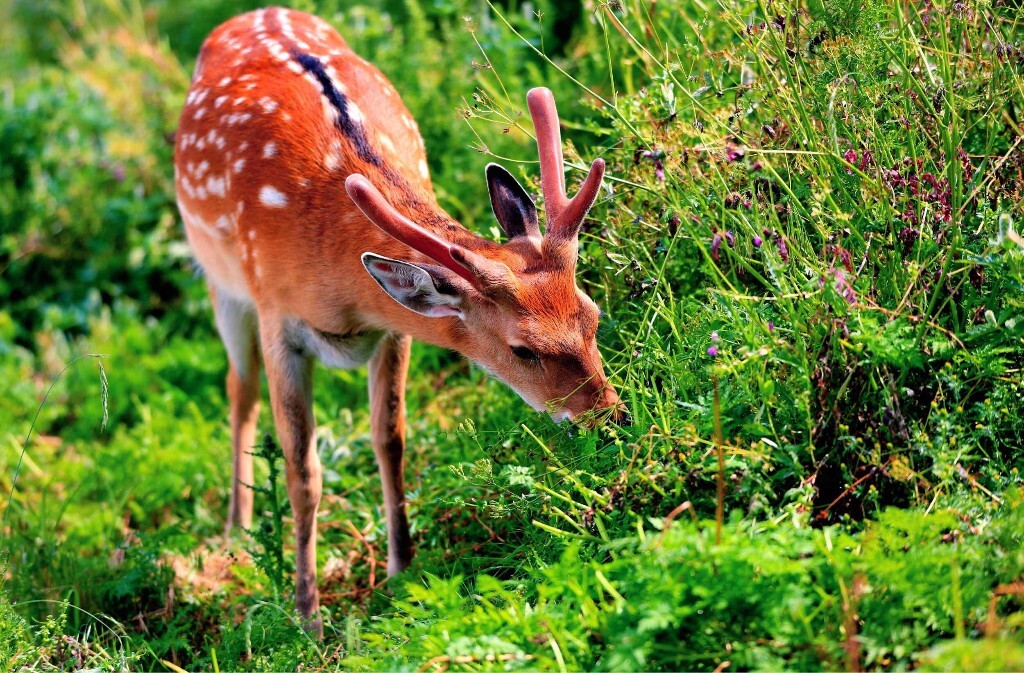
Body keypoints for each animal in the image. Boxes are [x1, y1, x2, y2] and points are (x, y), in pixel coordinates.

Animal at [174, 7, 622, 631]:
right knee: (239, 387)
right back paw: (236, 530)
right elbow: (302, 469)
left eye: (593, 315)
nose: (607, 417)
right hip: (221, 282)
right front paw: (307, 615)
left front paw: (403, 569)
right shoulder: (275, 313)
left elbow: (390, 437)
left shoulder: (392, 331)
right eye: (522, 349)